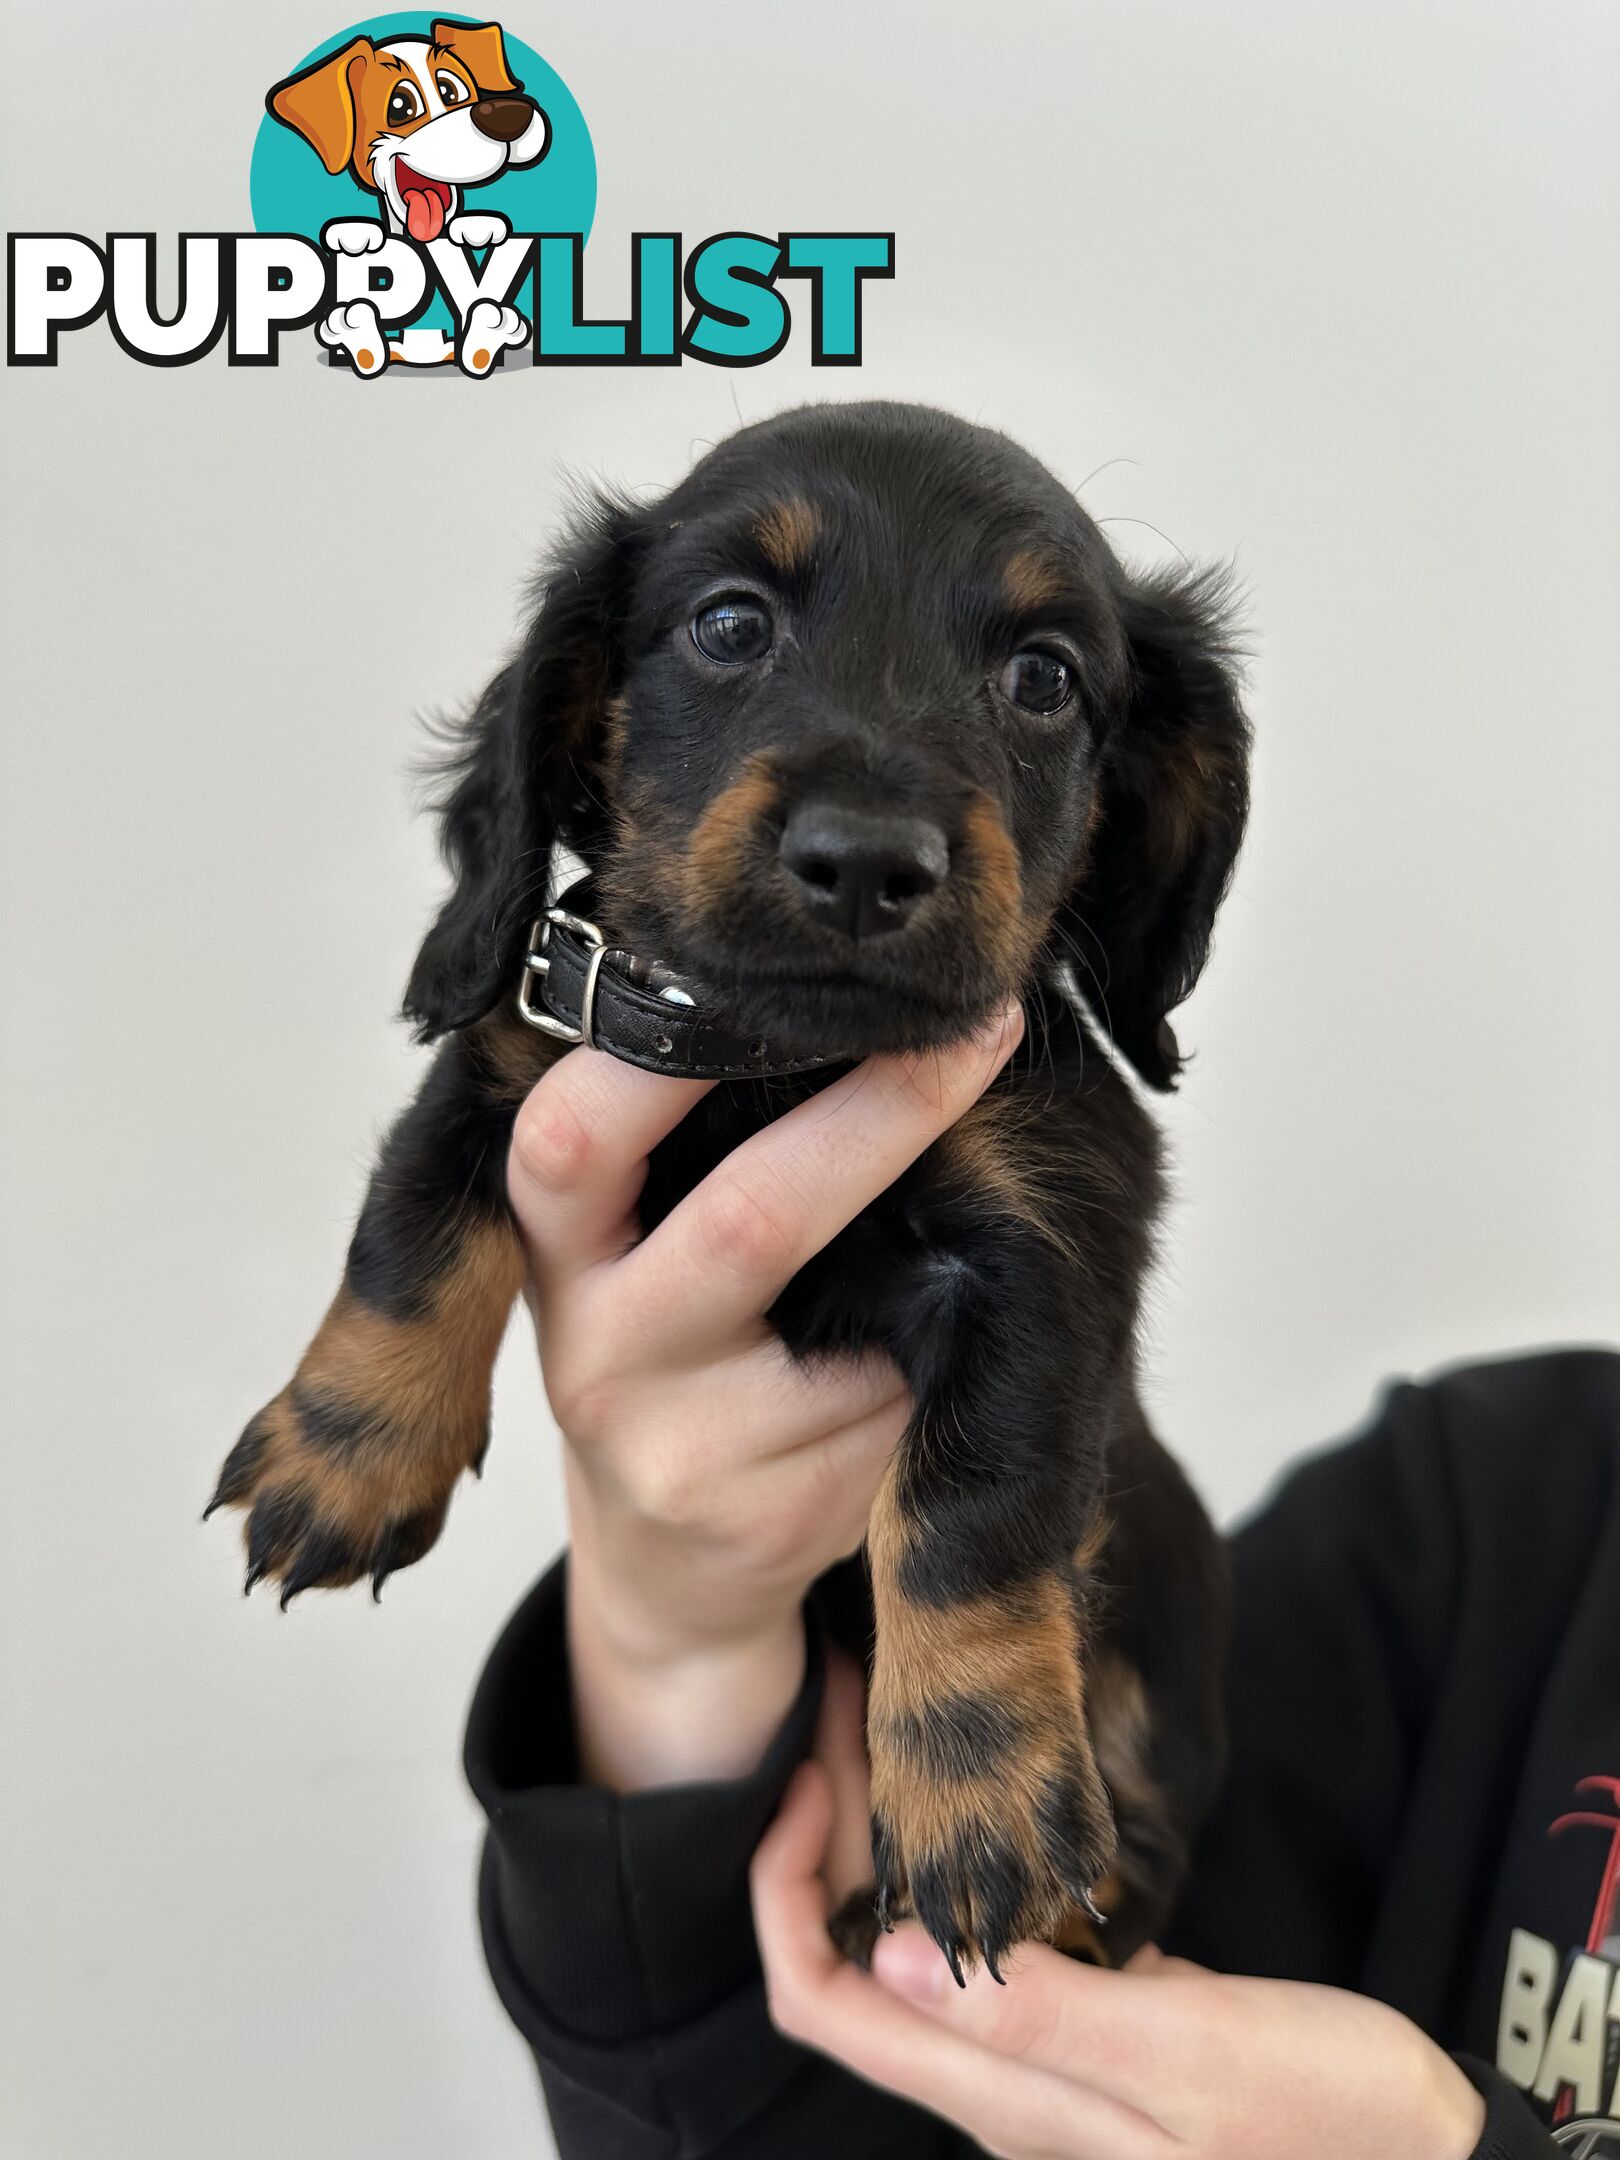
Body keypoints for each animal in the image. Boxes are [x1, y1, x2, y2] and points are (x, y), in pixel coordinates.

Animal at [209, 397, 1252, 1978]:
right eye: (728, 623)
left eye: (1044, 676)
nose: (866, 863)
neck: (777, 1062)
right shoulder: (516, 1066)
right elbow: (410, 1232)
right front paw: (343, 1458)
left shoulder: (1046, 1242)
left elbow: (971, 1508)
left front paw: (976, 1801)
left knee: (1143, 1868)